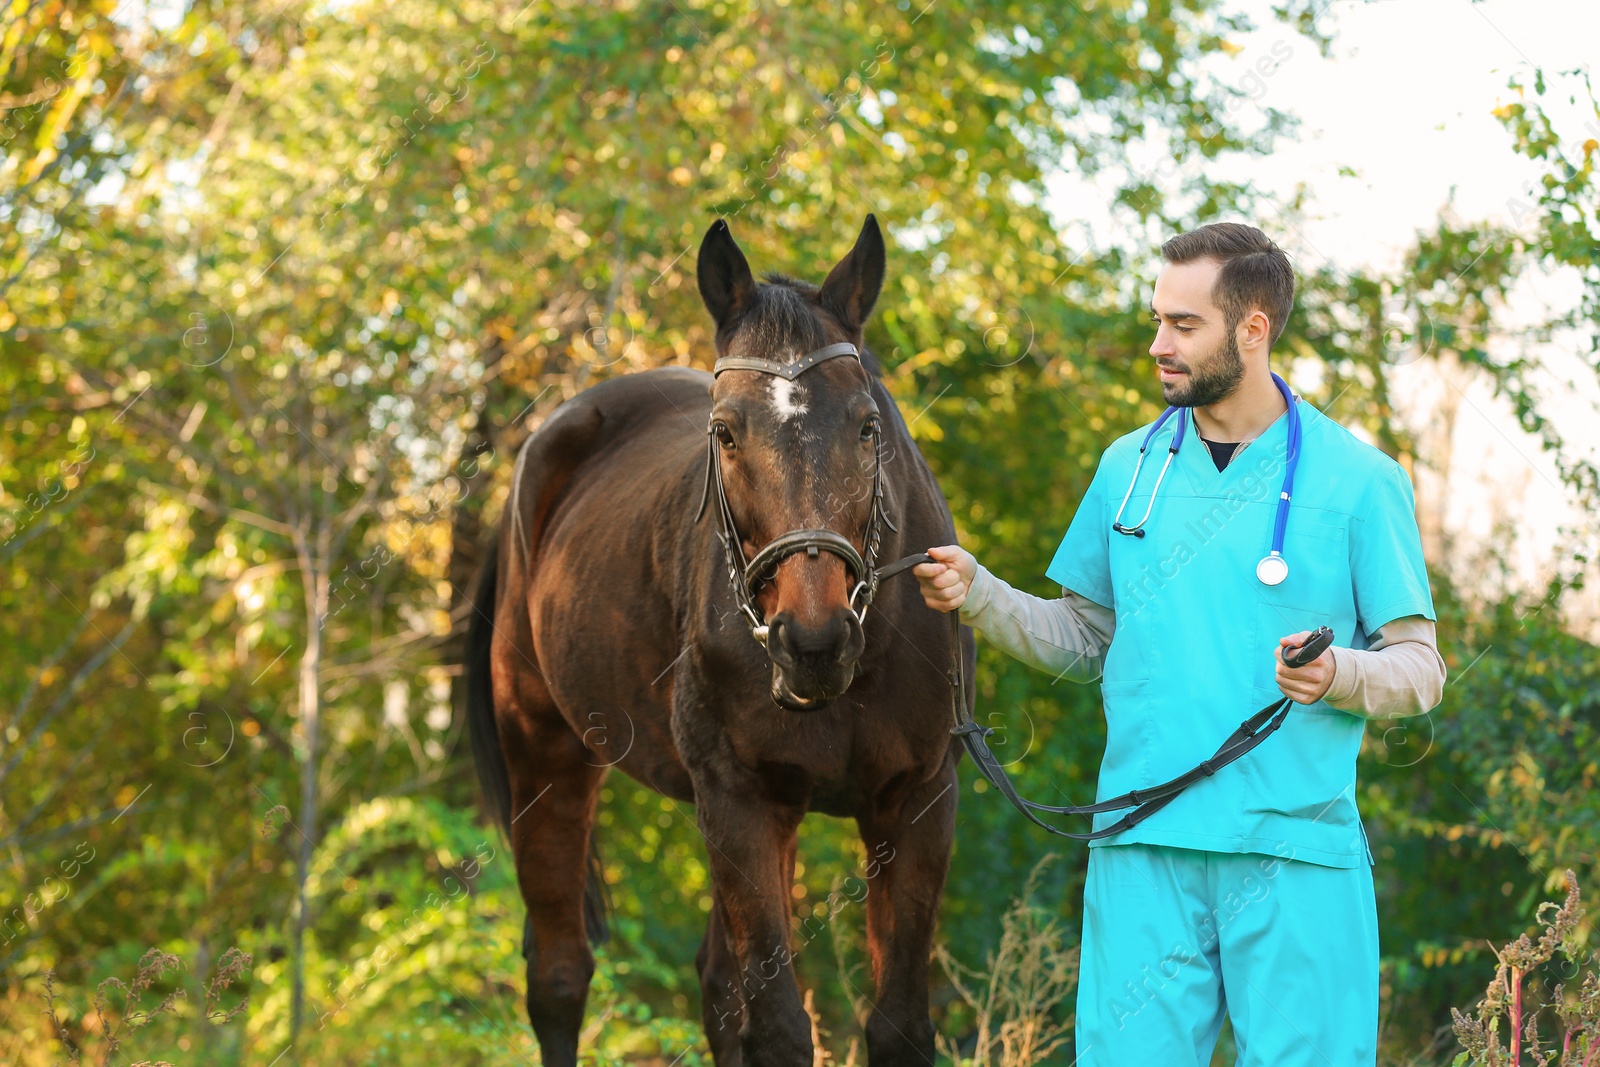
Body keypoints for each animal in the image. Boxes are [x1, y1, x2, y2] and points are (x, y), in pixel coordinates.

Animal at [464, 217, 972, 1067]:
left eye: (867, 425)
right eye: (725, 431)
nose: (813, 640)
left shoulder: (917, 800)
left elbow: (896, 1023)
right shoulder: (740, 799)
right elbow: (776, 1027)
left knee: (712, 982)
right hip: (546, 755)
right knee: (561, 974)